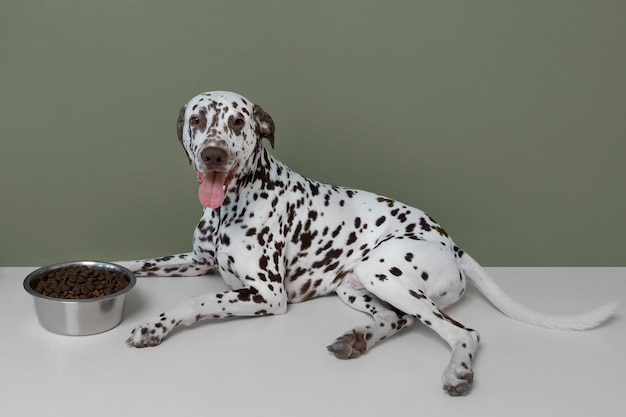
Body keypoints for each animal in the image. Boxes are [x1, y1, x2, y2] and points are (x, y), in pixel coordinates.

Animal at [120, 89, 616, 394]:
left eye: (239, 122)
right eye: (198, 119)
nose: (213, 154)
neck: (230, 205)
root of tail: (452, 244)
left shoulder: (266, 294)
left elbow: (195, 302)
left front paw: (156, 325)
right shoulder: (197, 260)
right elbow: (138, 263)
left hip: (382, 271)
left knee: (463, 332)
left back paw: (457, 370)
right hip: (356, 284)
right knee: (399, 320)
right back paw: (358, 339)